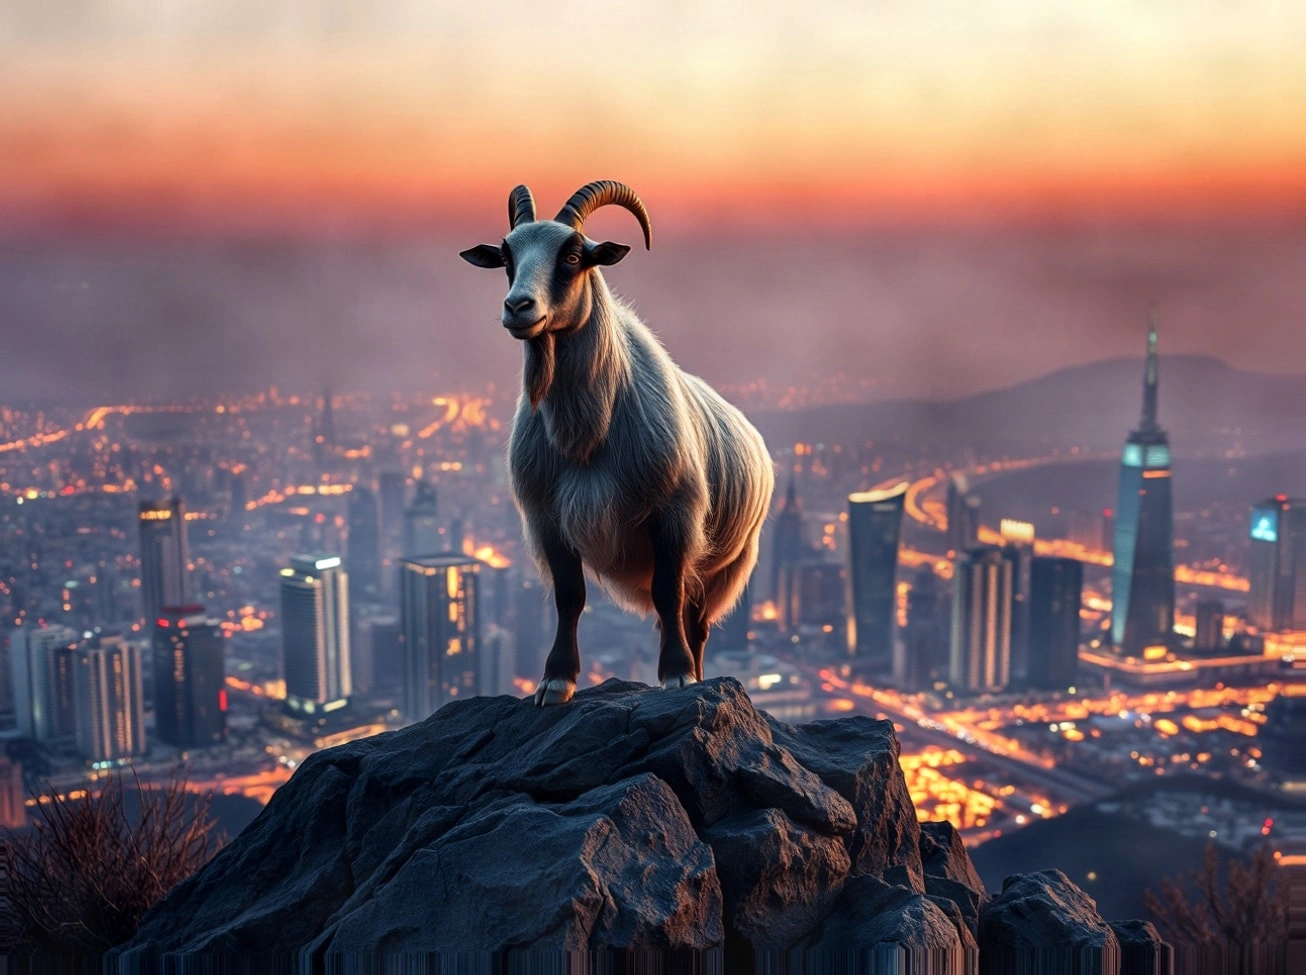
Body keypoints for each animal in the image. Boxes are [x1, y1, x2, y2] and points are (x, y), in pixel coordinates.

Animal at [461, 181, 775, 706]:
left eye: (573, 256)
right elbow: (570, 596)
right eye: (507, 257)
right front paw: (556, 681)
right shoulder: (548, 519)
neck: (586, 436)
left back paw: (699, 672)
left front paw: (677, 676)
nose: (518, 307)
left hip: (729, 562)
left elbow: (668, 594)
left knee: (697, 620)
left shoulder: (675, 516)